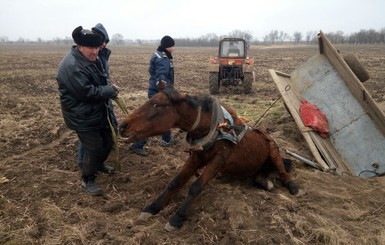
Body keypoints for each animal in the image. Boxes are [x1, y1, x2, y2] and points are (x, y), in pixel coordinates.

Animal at [118, 86, 298, 232]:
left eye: (156, 104)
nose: (122, 126)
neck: (212, 128)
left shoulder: (219, 160)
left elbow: (196, 187)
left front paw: (177, 218)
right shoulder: (196, 158)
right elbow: (175, 182)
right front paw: (152, 207)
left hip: (274, 152)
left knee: (283, 172)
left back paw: (292, 186)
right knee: (260, 176)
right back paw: (266, 182)